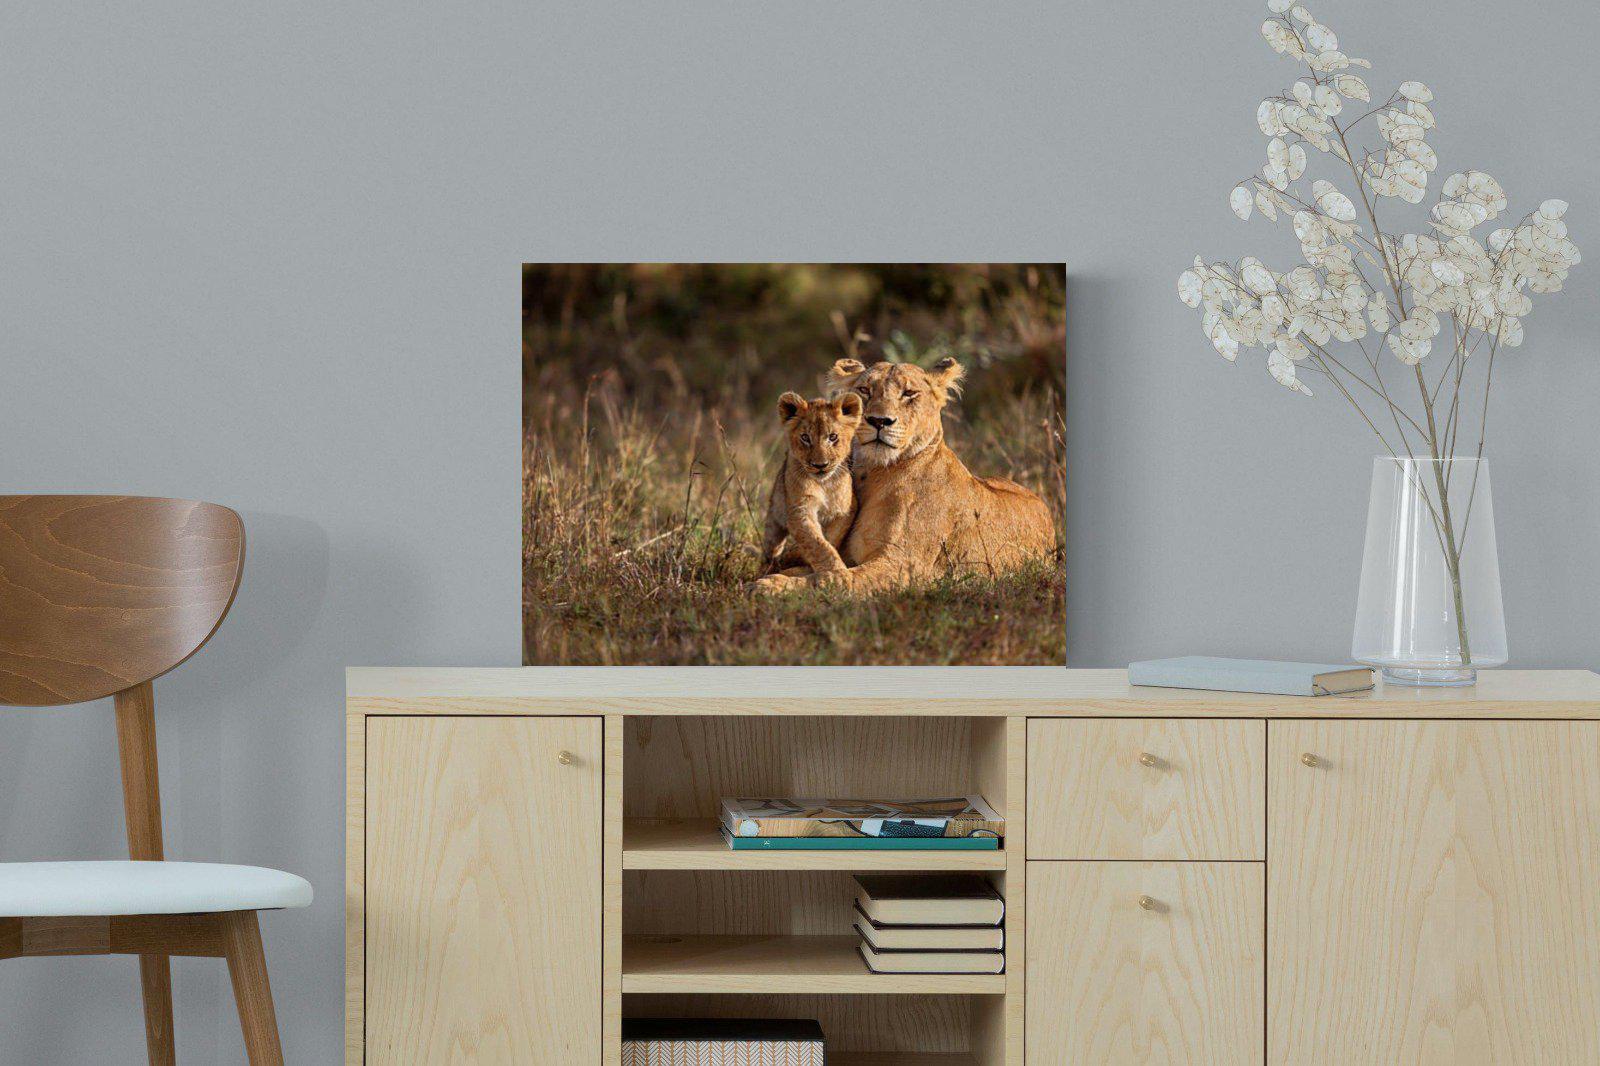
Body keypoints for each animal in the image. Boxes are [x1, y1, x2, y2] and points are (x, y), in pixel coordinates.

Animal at [759, 391, 864, 575]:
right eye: (805, 437)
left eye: (833, 437)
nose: (820, 465)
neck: (824, 484)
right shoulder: (799, 510)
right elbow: (817, 544)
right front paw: (837, 573)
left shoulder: (846, 509)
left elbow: (830, 538)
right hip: (774, 517)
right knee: (770, 548)